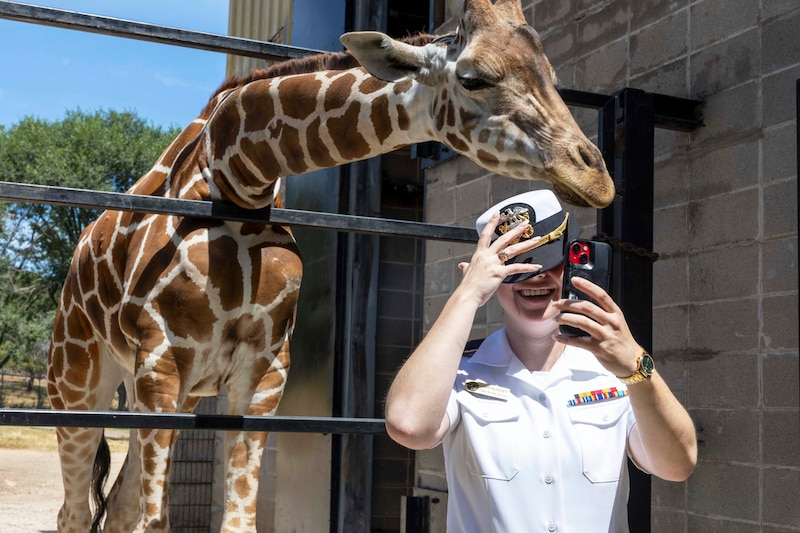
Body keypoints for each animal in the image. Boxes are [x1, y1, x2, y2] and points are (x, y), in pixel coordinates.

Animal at [46, 0, 614, 531]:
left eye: (552, 75)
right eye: (474, 77)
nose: (596, 177)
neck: (237, 176)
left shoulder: (265, 370)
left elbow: (237, 517)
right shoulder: (161, 358)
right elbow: (157, 520)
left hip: (169, 392)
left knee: (115, 509)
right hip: (78, 381)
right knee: (74, 511)